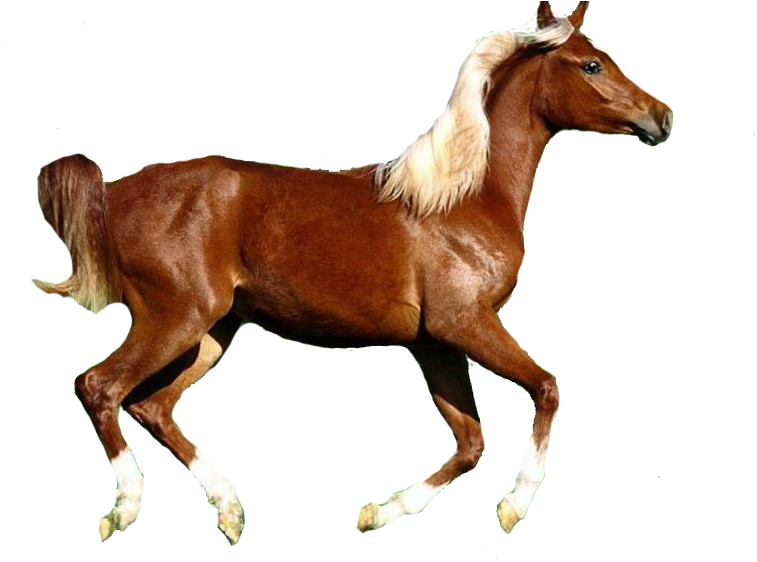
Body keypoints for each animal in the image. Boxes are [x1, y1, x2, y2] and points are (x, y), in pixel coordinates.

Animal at [33, 1, 672, 545]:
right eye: (591, 63)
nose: (662, 117)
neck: (464, 197)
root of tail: (114, 194)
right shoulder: (466, 323)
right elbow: (546, 388)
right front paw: (513, 507)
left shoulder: (436, 345)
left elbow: (470, 444)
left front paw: (378, 512)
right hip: (176, 318)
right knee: (101, 386)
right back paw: (124, 509)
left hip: (214, 332)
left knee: (152, 407)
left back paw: (230, 510)